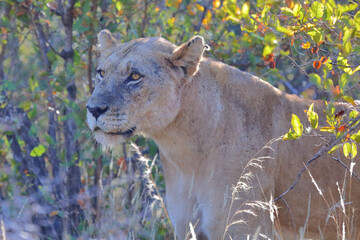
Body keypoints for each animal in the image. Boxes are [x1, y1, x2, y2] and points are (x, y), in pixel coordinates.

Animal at [87, 29, 360, 238]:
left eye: (134, 76)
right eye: (101, 73)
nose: (93, 109)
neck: (185, 153)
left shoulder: (246, 227)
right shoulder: (186, 227)